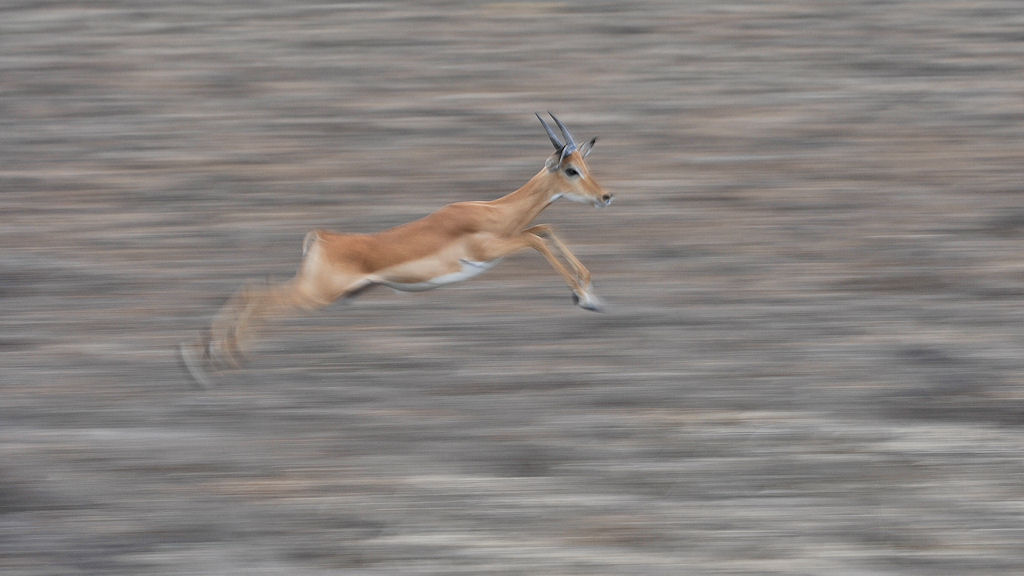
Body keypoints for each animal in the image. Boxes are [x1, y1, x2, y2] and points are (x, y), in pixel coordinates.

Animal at [180, 113, 613, 386]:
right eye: (571, 169)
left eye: (587, 166)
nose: (606, 196)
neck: (492, 212)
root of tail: (321, 237)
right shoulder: (491, 250)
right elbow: (537, 238)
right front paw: (585, 298)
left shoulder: (513, 235)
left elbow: (545, 228)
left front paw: (591, 295)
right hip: (316, 294)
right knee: (259, 294)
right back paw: (209, 361)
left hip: (319, 291)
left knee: (254, 289)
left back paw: (206, 360)